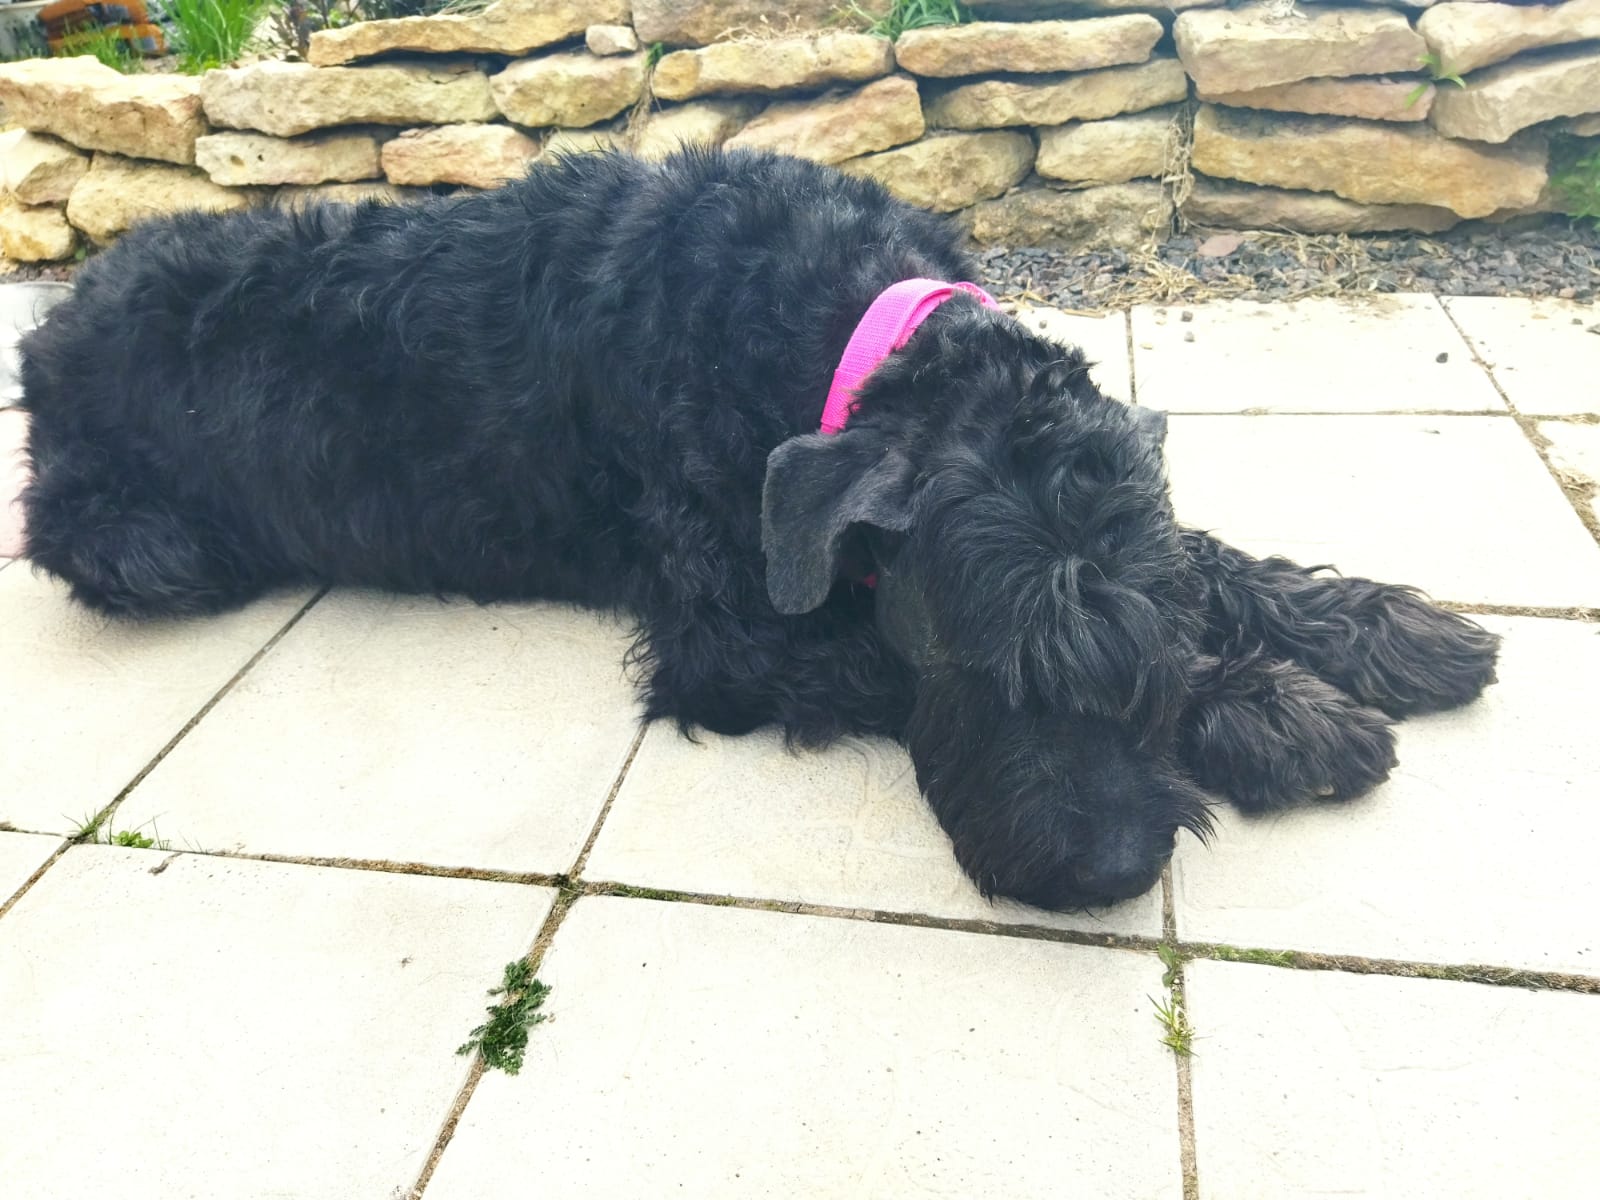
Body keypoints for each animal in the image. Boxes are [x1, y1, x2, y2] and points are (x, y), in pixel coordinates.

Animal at [11, 148, 1500, 909]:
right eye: (981, 659)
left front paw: (1371, 640)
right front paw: (1271, 714)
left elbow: (1200, 561)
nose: (1109, 871)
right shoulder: (731, 640)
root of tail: (53, 330)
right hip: (140, 541)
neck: (838, 325)